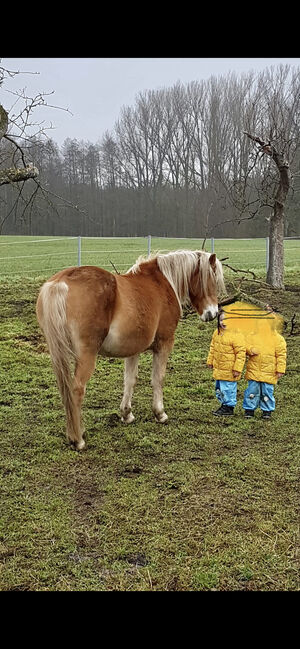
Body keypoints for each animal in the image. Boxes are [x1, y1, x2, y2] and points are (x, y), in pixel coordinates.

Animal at [36, 249, 225, 450]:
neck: (162, 282)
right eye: (212, 279)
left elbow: (130, 380)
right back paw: (78, 439)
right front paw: (160, 413)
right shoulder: (164, 343)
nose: (212, 313)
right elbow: (158, 378)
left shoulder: (133, 349)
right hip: (86, 355)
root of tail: (61, 282)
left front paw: (126, 414)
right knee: (77, 390)